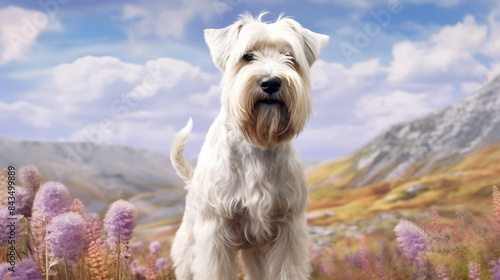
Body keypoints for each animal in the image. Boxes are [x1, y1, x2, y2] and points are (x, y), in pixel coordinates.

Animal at [170, 12, 330, 278]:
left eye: (290, 57)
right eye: (248, 56)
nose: (271, 82)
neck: (258, 143)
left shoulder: (288, 231)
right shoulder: (215, 235)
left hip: (255, 251)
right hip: (188, 248)